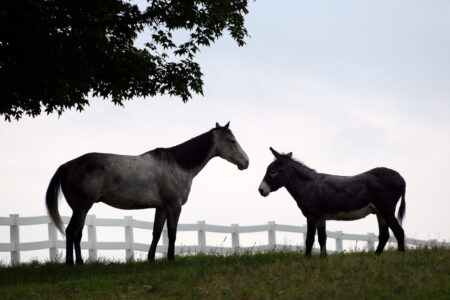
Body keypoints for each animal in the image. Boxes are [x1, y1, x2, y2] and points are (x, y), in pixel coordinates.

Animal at [46, 122, 250, 264]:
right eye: (231, 141)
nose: (246, 162)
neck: (178, 164)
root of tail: (68, 165)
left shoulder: (161, 208)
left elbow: (157, 233)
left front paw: (151, 258)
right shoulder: (174, 207)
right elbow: (172, 233)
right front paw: (171, 259)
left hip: (80, 209)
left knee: (75, 233)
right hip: (82, 208)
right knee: (72, 232)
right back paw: (73, 263)